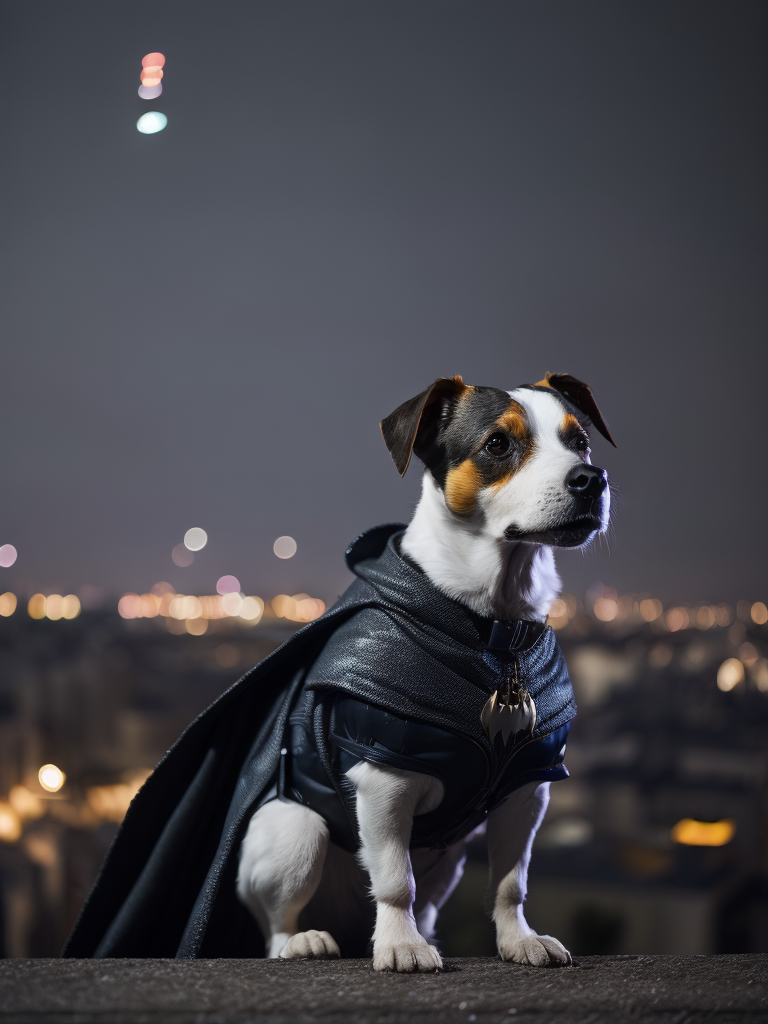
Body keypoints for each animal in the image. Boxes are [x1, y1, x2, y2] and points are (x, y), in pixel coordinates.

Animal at [234, 372, 614, 970]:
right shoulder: (386, 779)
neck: (492, 628)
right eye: (497, 445)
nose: (591, 479)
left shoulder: (529, 788)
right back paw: (305, 941)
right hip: (296, 833)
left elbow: (510, 882)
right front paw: (401, 945)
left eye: (581, 442)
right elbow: (394, 880)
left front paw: (519, 940)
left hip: (450, 857)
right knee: (277, 924)